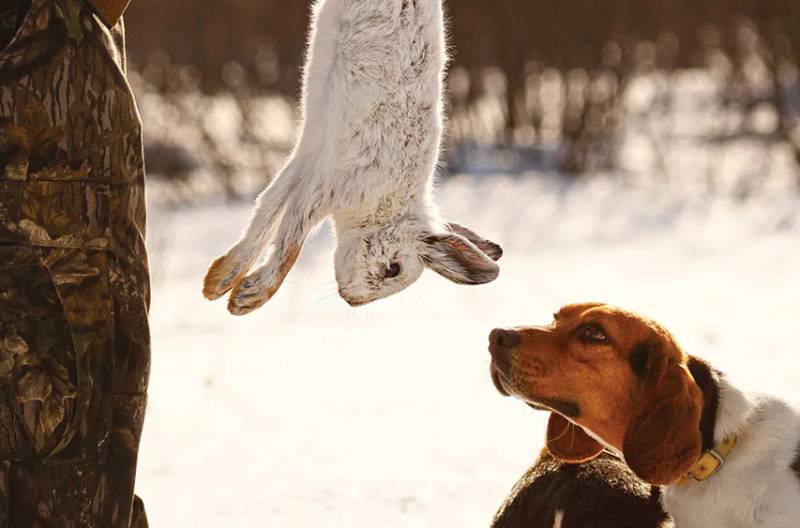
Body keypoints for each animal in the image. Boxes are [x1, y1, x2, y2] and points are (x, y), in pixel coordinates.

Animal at [203, 0, 503, 315]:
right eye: (393, 269)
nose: (352, 300)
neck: (388, 207)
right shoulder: (325, 190)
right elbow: (290, 245)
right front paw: (247, 298)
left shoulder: (309, 158)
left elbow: (267, 211)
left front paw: (220, 281)